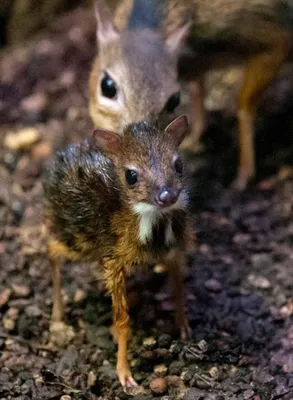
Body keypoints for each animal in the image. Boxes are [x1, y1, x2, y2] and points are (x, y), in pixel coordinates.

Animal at [43, 114, 193, 390]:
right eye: (131, 175)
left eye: (178, 164)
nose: (167, 195)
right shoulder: (114, 260)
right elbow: (123, 320)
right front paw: (124, 373)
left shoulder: (174, 251)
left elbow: (178, 288)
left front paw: (184, 326)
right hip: (80, 240)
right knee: (51, 249)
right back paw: (57, 317)